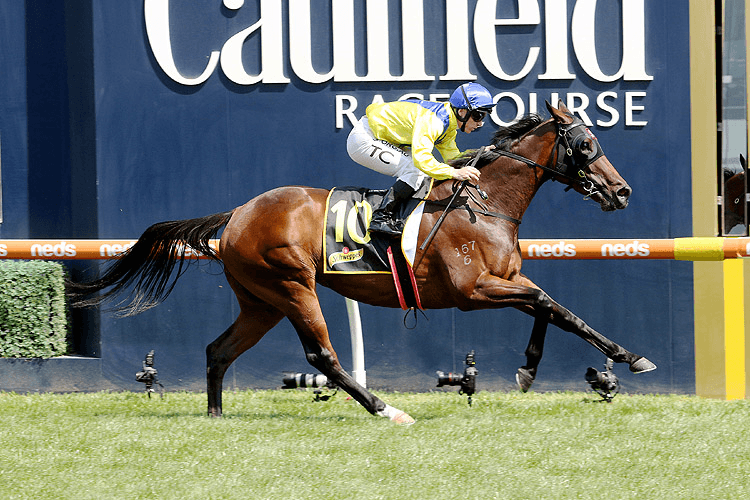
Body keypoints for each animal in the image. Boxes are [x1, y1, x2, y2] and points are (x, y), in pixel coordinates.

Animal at [69, 100, 656, 422]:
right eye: (586, 143)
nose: (623, 191)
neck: (486, 202)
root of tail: (237, 213)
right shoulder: (473, 292)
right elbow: (546, 302)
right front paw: (567, 365)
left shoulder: (506, 277)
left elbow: (553, 308)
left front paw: (562, 365)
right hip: (292, 286)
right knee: (322, 356)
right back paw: (385, 409)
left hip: (260, 301)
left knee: (219, 350)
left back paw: (215, 416)